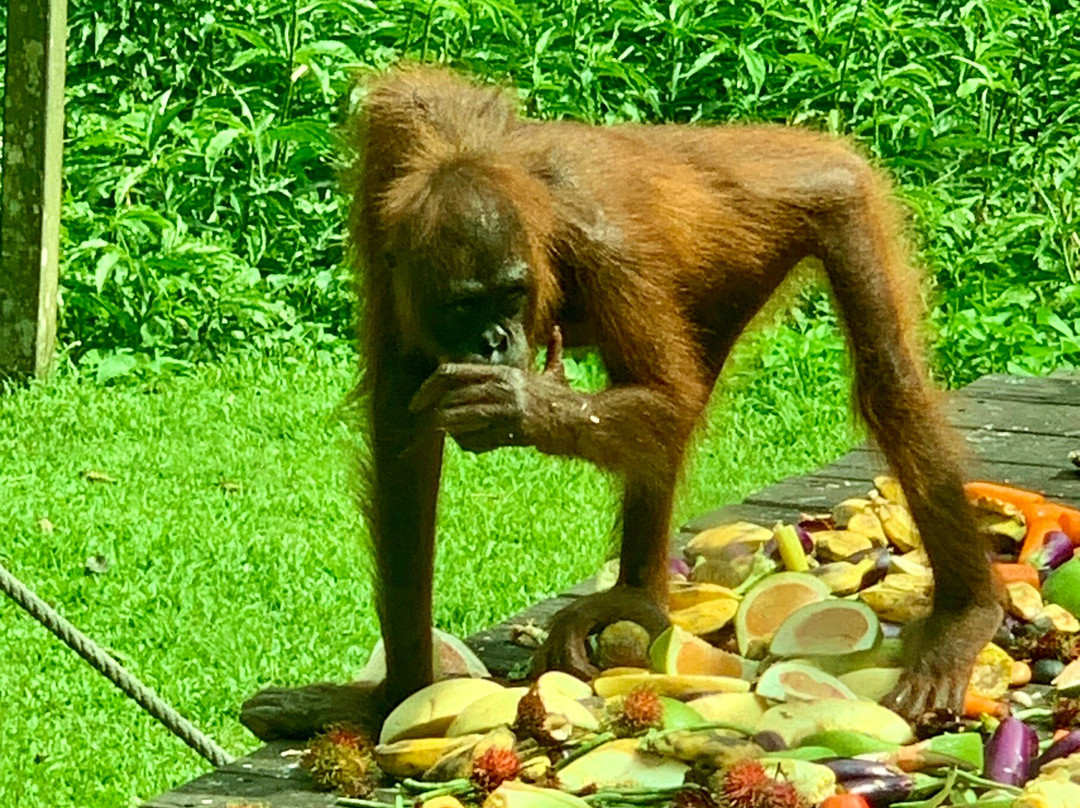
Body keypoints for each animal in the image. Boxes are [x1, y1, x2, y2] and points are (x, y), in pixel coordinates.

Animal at [240, 65, 1003, 740]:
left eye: (510, 293)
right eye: (466, 304)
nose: (494, 340)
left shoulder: (610, 251)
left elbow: (668, 397)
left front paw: (519, 404)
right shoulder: (387, 221)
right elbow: (402, 436)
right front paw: (394, 696)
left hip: (838, 198)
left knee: (886, 384)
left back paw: (965, 617)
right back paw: (637, 594)